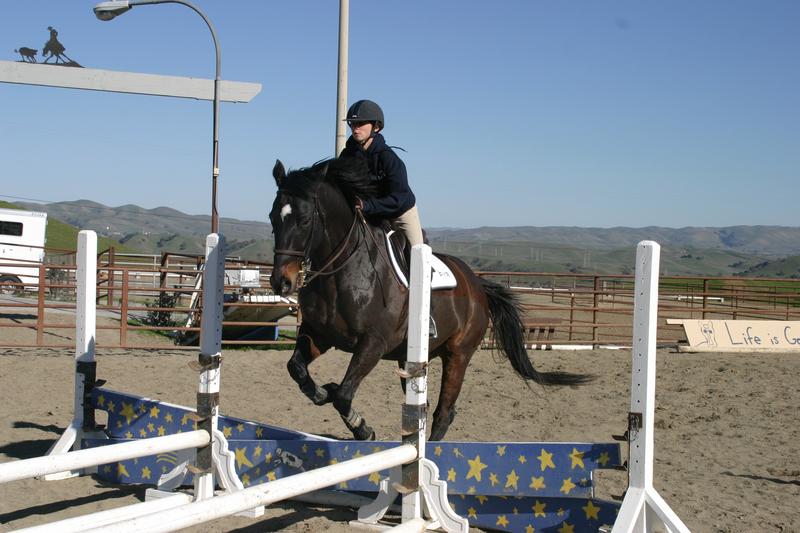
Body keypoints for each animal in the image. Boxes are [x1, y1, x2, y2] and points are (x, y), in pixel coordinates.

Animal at [268, 156, 592, 441]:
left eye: (305, 220)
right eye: (272, 218)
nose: (280, 282)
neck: (342, 271)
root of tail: (477, 284)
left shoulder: (372, 344)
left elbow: (345, 395)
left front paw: (362, 428)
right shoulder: (320, 335)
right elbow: (297, 369)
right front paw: (324, 391)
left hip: (458, 355)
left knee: (443, 412)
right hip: (411, 358)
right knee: (422, 410)